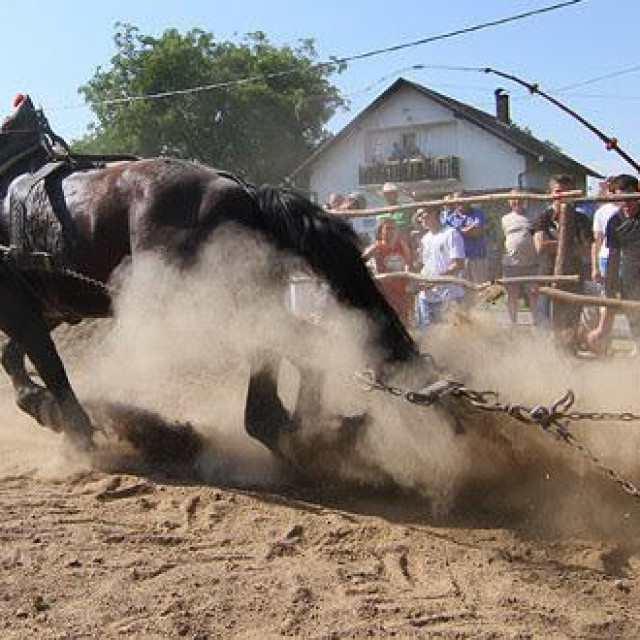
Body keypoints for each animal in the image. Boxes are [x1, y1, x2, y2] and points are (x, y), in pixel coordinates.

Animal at [0, 95, 424, 456]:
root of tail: (246, 193)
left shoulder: (20, 310)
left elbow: (49, 365)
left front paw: (75, 432)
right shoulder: (47, 310)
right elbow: (14, 357)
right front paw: (42, 406)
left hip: (201, 306)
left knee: (279, 357)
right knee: (296, 352)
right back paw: (308, 430)